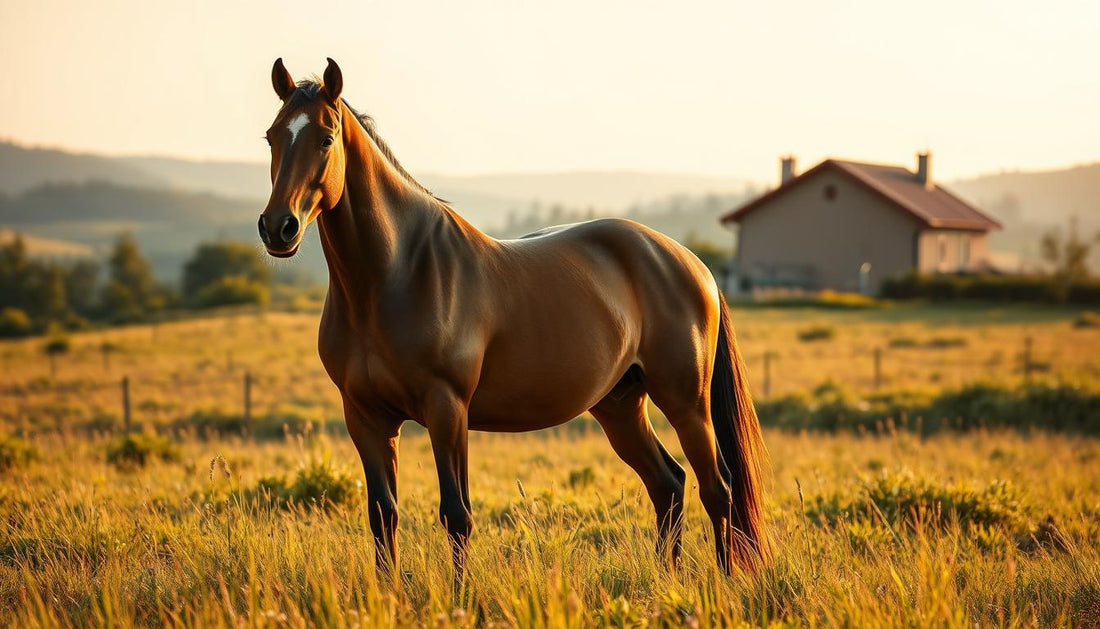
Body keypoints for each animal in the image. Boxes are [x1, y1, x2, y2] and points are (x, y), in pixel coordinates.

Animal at [258, 58, 770, 577]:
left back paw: (722, 582)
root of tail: (692, 264)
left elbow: (456, 515)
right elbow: (383, 515)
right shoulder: (365, 416)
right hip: (620, 405)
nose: (278, 228)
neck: (395, 275)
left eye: (326, 138)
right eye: (272, 136)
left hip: (686, 403)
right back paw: (669, 580)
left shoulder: (448, 409)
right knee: (668, 484)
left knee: (717, 489)